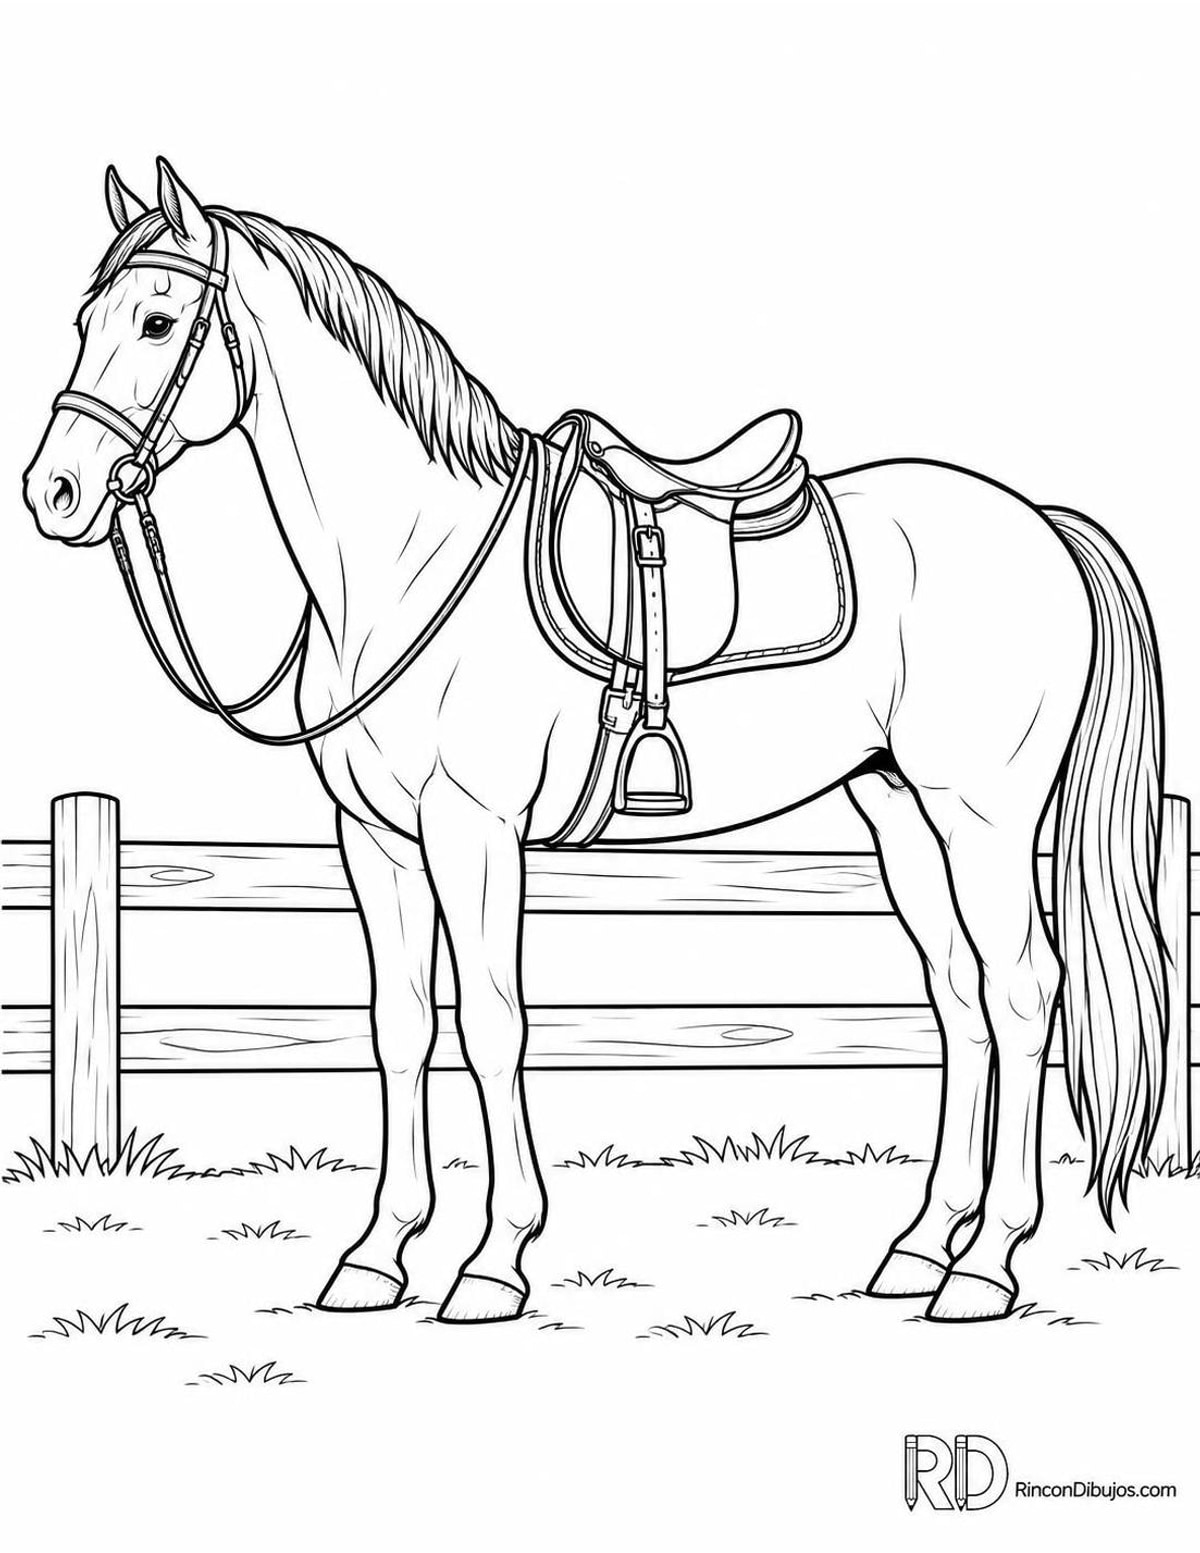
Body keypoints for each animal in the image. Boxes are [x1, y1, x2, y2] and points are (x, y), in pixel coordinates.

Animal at [22, 159, 1168, 1324]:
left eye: (159, 320)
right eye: (84, 321)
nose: (53, 493)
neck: (414, 564)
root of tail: (1039, 523)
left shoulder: (474, 831)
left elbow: (492, 1023)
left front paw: (493, 1262)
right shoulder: (376, 840)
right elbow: (400, 1025)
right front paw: (376, 1256)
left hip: (982, 813)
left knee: (1023, 989)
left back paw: (987, 1265)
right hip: (900, 812)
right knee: (960, 999)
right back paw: (923, 1248)